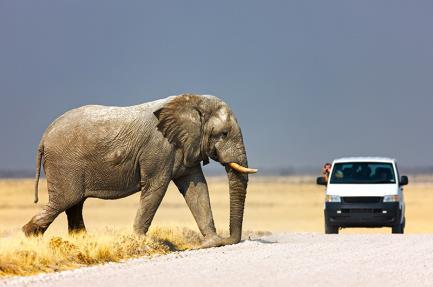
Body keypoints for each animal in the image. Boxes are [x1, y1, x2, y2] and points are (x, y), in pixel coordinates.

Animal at [22, 94, 256, 248]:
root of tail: (44, 138)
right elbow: (156, 188)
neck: (192, 102)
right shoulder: (159, 149)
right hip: (64, 165)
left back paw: (81, 240)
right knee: (65, 201)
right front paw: (139, 241)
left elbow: (196, 188)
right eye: (223, 134)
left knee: (74, 204)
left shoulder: (185, 146)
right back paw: (28, 237)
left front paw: (212, 243)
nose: (229, 240)